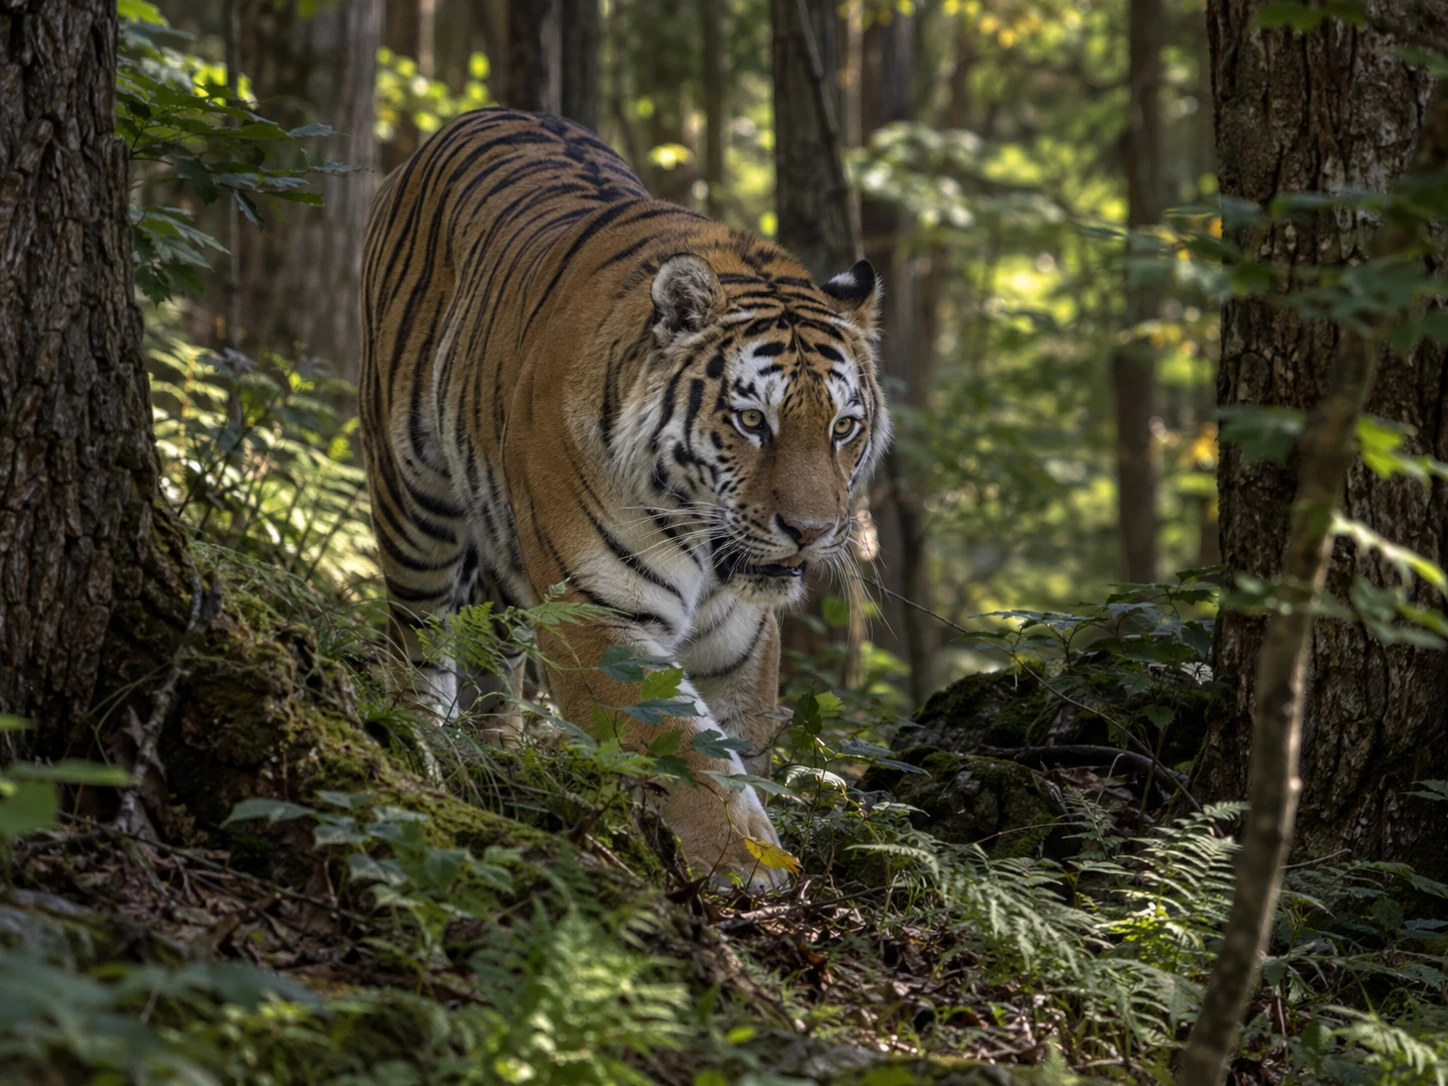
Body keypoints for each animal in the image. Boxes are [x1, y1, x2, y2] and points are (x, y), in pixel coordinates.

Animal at [359, 108, 891, 890]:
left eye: (843, 428)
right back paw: (423, 745)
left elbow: (742, 738)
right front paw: (751, 864)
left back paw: (499, 750)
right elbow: (686, 748)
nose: (811, 530)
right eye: (751, 421)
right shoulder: (598, 612)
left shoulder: (741, 635)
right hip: (413, 495)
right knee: (418, 637)